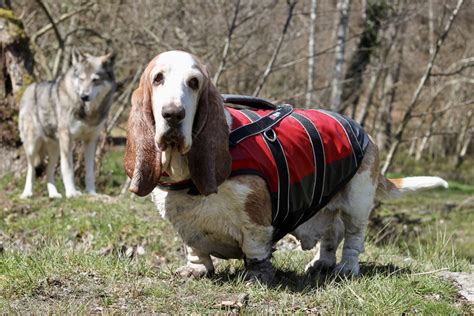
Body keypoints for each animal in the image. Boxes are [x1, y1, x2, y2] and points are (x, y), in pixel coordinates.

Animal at [20, 49, 116, 198]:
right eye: (81, 78)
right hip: (33, 146)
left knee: (49, 170)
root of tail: (29, 87)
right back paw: (27, 193)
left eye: (95, 80)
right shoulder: (67, 138)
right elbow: (68, 168)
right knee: (31, 169)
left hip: (55, 149)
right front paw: (71, 192)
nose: (84, 96)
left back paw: (54, 194)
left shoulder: (91, 140)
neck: (88, 112)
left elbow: (90, 171)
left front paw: (92, 192)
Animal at [123, 50, 448, 282]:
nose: (173, 114)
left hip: (357, 201)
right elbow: (196, 250)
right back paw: (321, 263)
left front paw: (257, 275)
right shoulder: (187, 228)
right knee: (331, 235)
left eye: (194, 83)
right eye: (158, 79)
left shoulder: (256, 221)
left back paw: (347, 267)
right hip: (328, 205)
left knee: (354, 238)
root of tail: (365, 132)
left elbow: (256, 249)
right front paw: (196, 269)